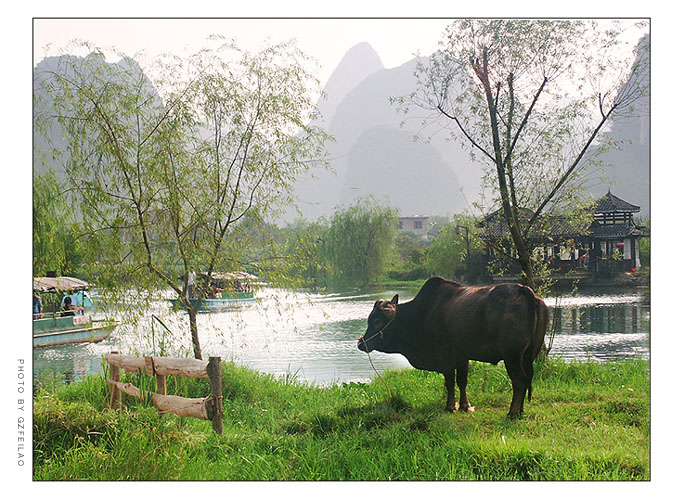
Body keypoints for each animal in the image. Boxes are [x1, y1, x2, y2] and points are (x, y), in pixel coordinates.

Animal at [356, 278, 548, 418]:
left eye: (376, 320)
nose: (361, 343)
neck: (422, 314)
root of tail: (524, 290)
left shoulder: (445, 356)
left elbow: (449, 382)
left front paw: (450, 406)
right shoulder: (462, 356)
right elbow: (462, 381)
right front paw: (464, 405)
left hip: (512, 355)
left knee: (519, 380)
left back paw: (513, 413)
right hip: (528, 355)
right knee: (527, 377)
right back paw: (521, 410)